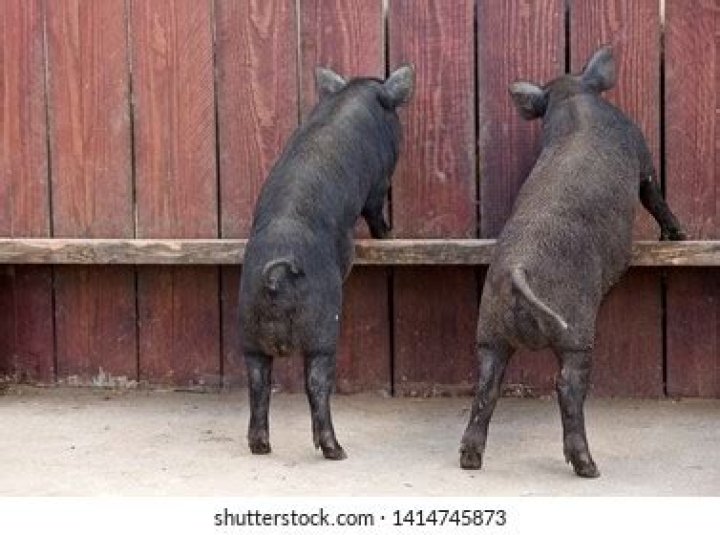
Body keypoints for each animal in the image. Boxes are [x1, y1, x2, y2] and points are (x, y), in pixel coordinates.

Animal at [239, 65, 414, 460]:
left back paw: (261, 447)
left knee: (258, 382)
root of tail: (276, 276)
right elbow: (376, 211)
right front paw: (390, 236)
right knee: (316, 383)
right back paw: (336, 450)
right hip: (322, 327)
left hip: (250, 330)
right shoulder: (379, 182)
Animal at [459, 46, 685, 477]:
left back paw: (469, 459)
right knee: (566, 386)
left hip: (488, 327)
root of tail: (517, 270)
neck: (573, 98)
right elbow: (655, 195)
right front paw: (679, 236)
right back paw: (588, 467)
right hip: (576, 329)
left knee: (486, 384)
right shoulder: (643, 156)